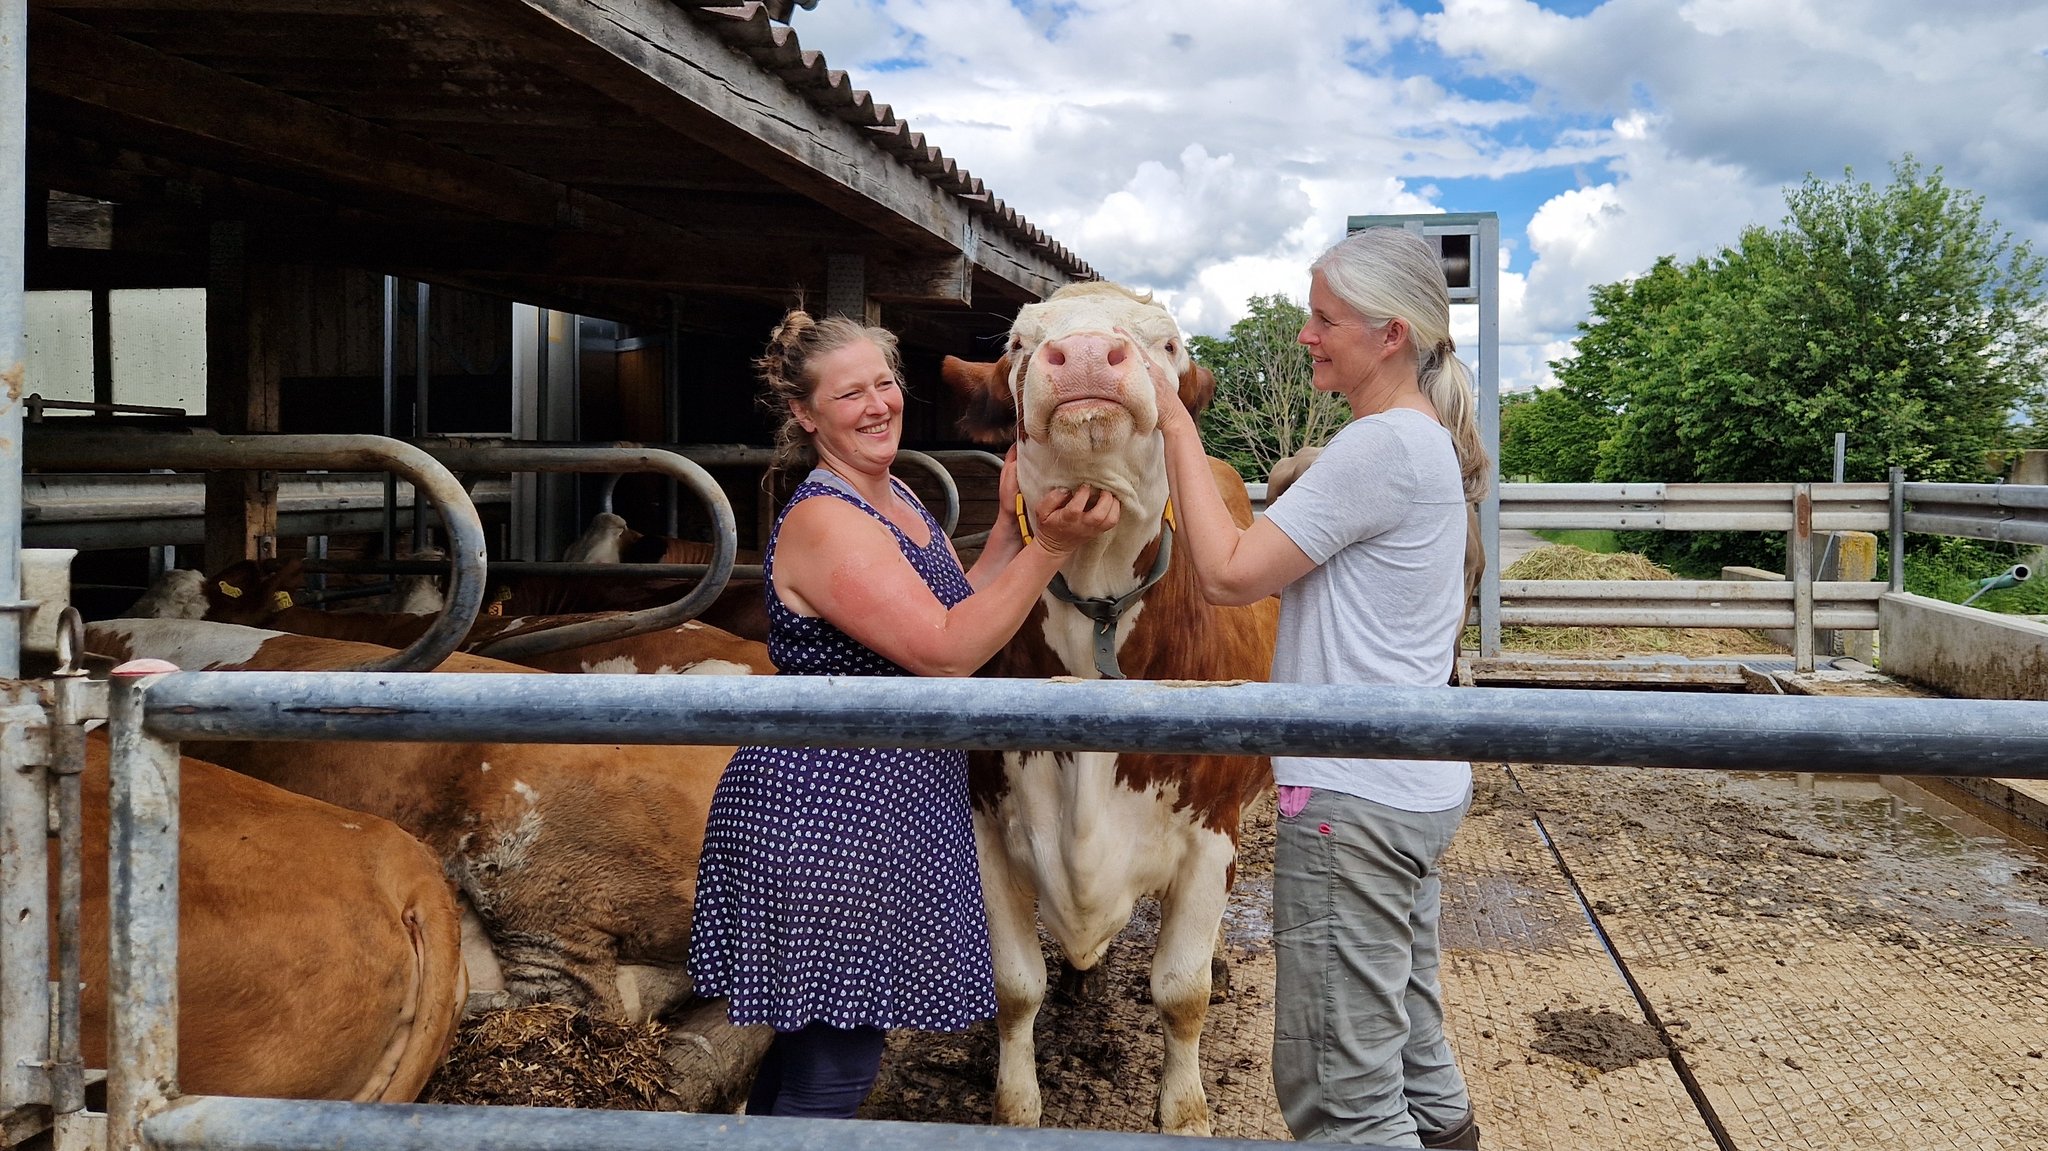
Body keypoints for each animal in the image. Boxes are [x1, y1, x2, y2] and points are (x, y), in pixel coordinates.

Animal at [942, 280, 1277, 1138]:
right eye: (1020, 343)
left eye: (1168, 344)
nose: (1090, 354)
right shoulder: (987, 821)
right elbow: (1014, 985)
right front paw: (1016, 1104)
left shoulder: (1211, 833)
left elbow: (1182, 991)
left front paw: (1185, 1110)